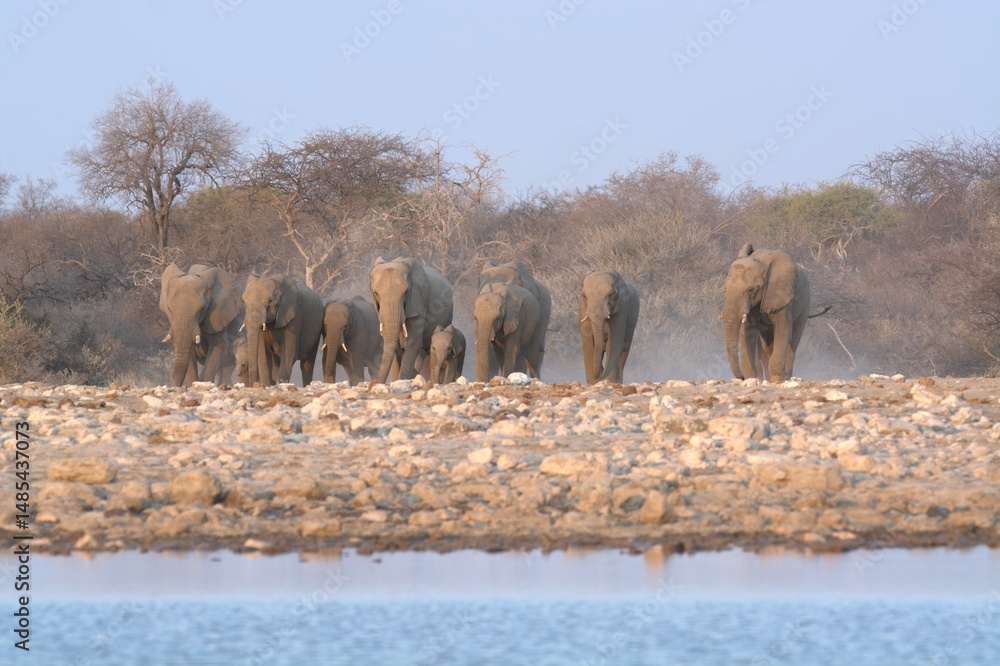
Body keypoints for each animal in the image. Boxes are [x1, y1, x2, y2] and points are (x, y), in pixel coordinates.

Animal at [722, 243, 811, 383]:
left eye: (750, 289)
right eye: (726, 289)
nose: (741, 377)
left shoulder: (783, 300)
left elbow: (783, 331)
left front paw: (777, 379)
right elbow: (746, 333)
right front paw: (750, 378)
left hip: (805, 305)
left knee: (793, 341)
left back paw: (785, 377)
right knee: (766, 345)